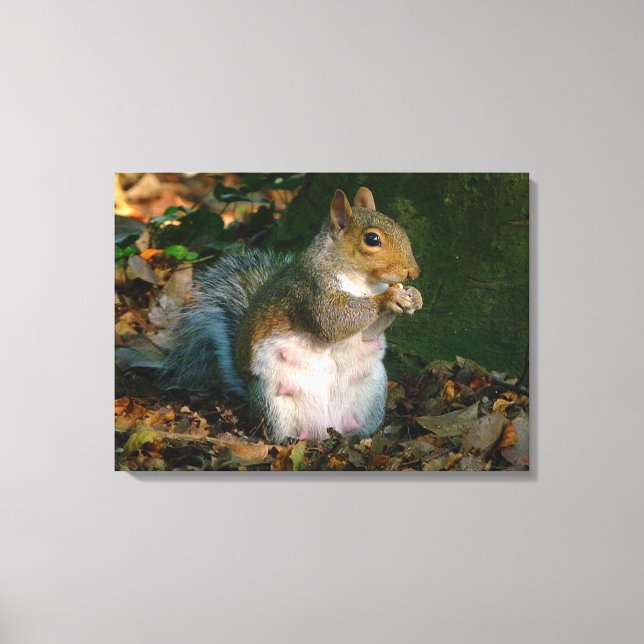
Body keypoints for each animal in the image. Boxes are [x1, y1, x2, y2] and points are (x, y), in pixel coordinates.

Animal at [160, 187, 423, 443]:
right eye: (372, 239)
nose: (414, 272)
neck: (363, 283)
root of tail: (324, 429)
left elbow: (369, 333)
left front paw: (414, 297)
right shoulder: (312, 289)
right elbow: (331, 321)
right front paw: (389, 298)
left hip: (373, 392)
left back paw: (359, 438)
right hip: (273, 402)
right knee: (274, 432)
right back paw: (288, 440)